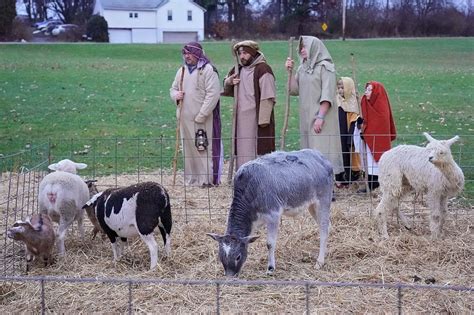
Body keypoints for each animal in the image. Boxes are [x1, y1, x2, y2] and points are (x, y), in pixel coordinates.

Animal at [207, 149, 334, 278]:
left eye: (238, 257)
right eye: (220, 256)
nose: (230, 276)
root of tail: (319, 155)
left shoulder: (273, 215)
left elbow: (270, 243)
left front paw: (271, 268)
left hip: (324, 199)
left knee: (324, 229)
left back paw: (319, 262)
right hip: (312, 206)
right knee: (327, 225)